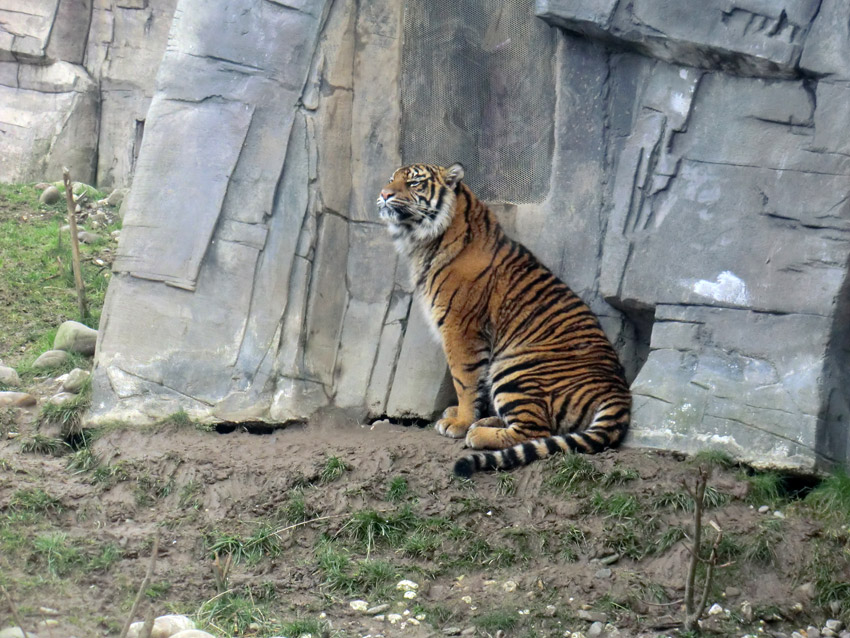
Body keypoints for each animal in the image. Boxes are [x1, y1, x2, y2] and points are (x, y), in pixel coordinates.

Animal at [374, 162, 628, 478]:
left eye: (414, 183)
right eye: (391, 179)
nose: (384, 194)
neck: (425, 241)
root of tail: (619, 393)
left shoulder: (460, 329)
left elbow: (464, 380)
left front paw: (460, 422)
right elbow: (476, 385)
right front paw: (464, 415)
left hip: (515, 368)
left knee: (536, 430)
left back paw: (477, 432)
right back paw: (484, 422)